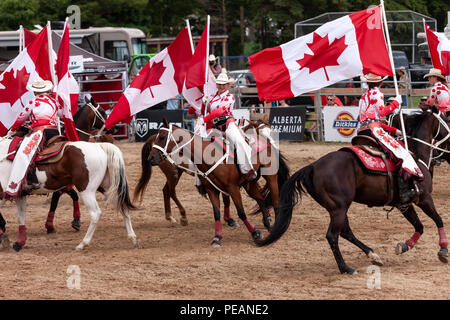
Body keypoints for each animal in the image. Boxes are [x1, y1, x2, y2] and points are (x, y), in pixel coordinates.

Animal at [0, 136, 138, 251]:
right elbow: (21, 217)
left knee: (95, 214)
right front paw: (19, 242)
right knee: (123, 207)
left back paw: (83, 243)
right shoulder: (20, 195)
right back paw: (132, 238)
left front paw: (5, 238)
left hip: (87, 191)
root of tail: (99, 146)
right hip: (107, 188)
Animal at [256, 110, 450, 276]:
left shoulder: (404, 204)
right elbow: (438, 220)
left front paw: (405, 246)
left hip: (336, 208)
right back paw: (346, 268)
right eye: (446, 120)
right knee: (333, 236)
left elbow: (419, 226)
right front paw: (443, 250)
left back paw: (373, 255)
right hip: (339, 208)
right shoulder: (424, 198)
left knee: (346, 232)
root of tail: (312, 167)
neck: (416, 158)